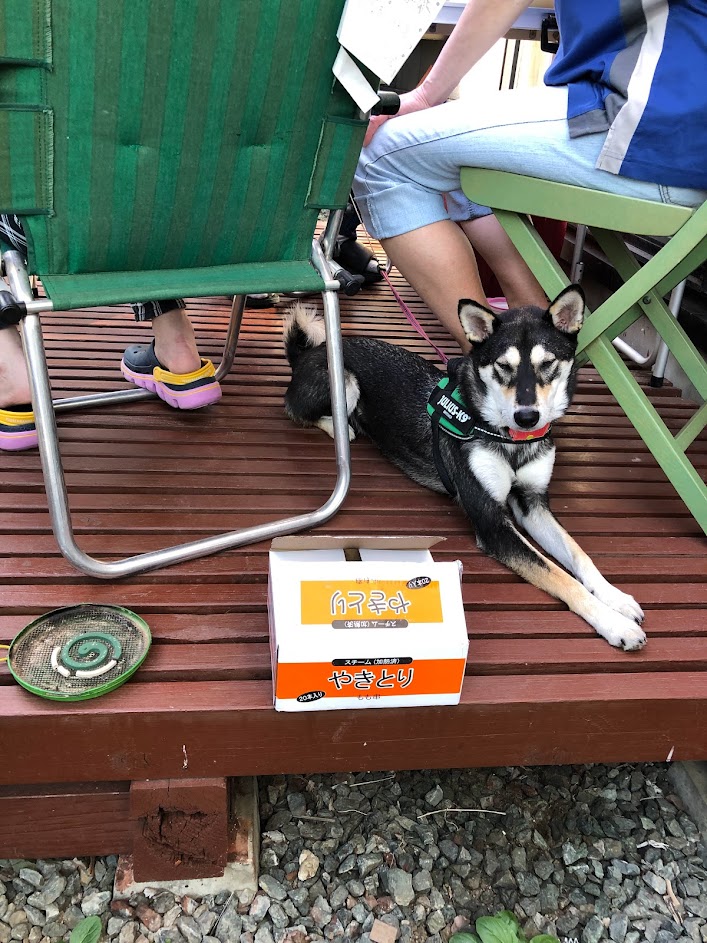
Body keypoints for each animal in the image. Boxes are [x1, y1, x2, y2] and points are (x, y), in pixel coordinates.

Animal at [283, 287, 646, 651]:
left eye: (547, 364)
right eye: (503, 366)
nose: (527, 417)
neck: (509, 438)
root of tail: (307, 353)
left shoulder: (533, 503)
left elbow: (578, 554)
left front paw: (615, 597)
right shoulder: (492, 522)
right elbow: (559, 575)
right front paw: (614, 624)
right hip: (344, 384)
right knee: (296, 410)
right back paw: (341, 427)